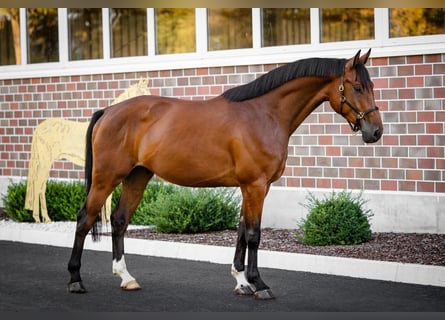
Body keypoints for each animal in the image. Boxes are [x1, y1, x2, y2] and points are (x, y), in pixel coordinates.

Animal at [67, 48, 382, 298]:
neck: (263, 114)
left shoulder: (255, 186)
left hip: (137, 176)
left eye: (372, 85)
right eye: (356, 87)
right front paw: (259, 284)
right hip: (106, 178)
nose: (375, 131)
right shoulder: (255, 185)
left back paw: (127, 278)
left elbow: (242, 231)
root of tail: (108, 111)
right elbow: (253, 234)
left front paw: (242, 282)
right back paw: (75, 279)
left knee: (120, 220)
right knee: (85, 219)